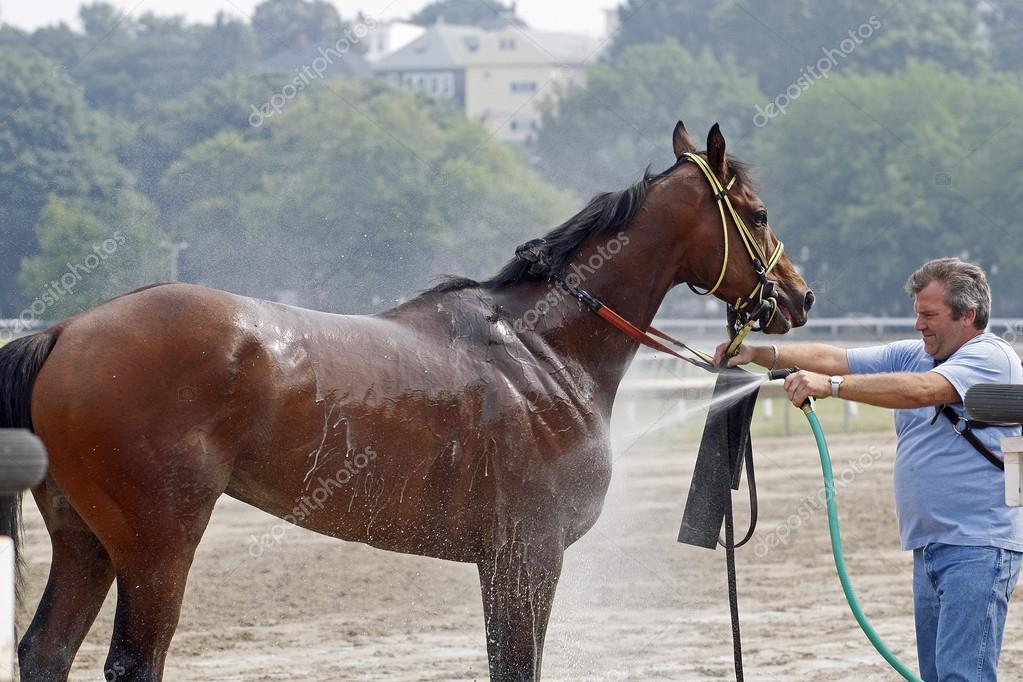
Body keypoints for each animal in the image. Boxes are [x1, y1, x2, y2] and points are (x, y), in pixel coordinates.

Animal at [0, 120, 812, 681]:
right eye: (759, 212)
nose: (799, 297)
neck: (540, 347)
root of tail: (64, 330)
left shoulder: (508, 562)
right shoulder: (527, 556)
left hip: (86, 542)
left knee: (46, 651)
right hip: (158, 545)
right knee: (133, 662)